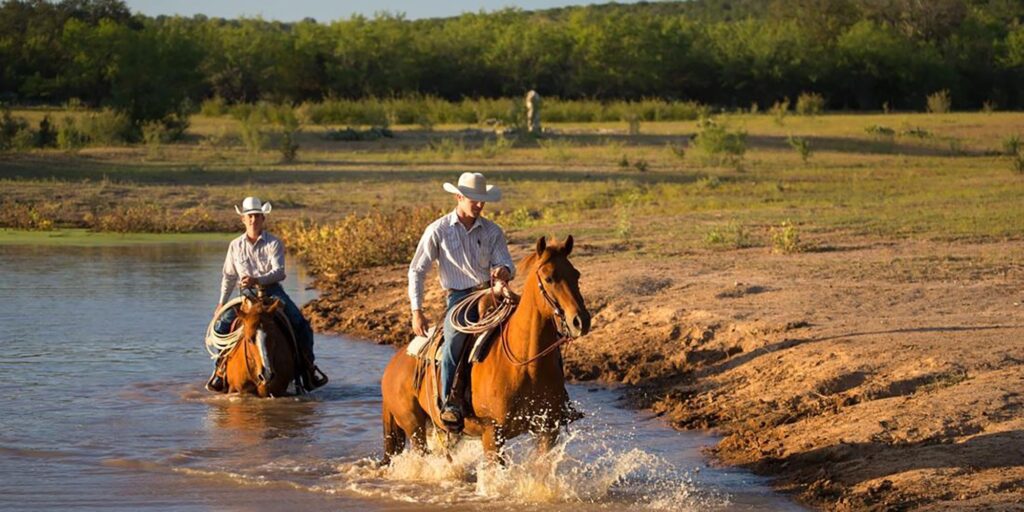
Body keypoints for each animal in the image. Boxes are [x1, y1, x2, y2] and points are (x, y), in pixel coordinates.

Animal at [380, 235, 591, 464]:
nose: (580, 321)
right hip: (414, 427)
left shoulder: (548, 429)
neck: (524, 364)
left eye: (576, 274)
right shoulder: (492, 434)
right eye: (549, 278)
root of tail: (392, 366)